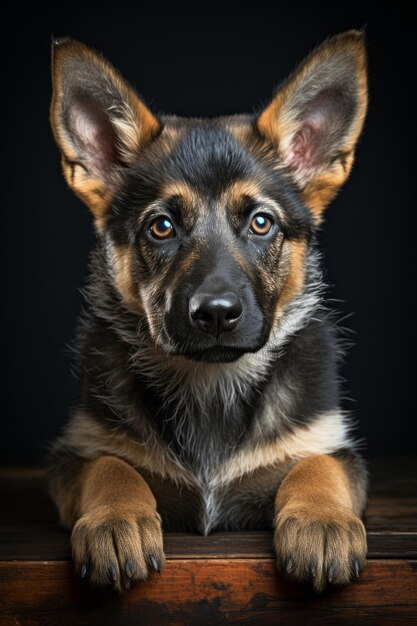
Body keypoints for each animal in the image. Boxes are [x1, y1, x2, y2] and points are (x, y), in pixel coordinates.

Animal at [48, 31, 368, 592]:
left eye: (261, 222)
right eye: (161, 227)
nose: (217, 313)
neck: (211, 383)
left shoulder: (333, 446)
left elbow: (317, 466)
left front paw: (323, 521)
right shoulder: (76, 452)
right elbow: (109, 466)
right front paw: (115, 519)